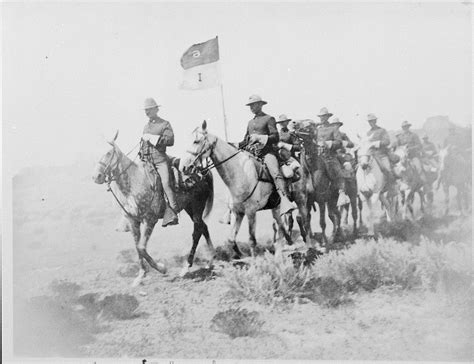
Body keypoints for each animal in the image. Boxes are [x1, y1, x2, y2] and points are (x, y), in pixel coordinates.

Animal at [91, 131, 217, 284]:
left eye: (109, 153)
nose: (96, 176)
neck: (134, 183)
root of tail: (203, 172)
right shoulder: (133, 222)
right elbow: (137, 247)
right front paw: (140, 275)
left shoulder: (150, 220)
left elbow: (141, 247)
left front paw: (162, 268)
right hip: (190, 209)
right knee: (203, 226)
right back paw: (210, 260)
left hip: (197, 206)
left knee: (197, 231)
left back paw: (187, 266)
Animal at [180, 121, 312, 258]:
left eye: (196, 141)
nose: (184, 167)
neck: (240, 174)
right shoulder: (237, 212)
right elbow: (231, 239)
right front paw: (241, 255)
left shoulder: (251, 212)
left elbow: (252, 240)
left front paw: (254, 261)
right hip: (276, 206)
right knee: (280, 224)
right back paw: (284, 247)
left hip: (301, 199)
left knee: (304, 219)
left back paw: (309, 246)